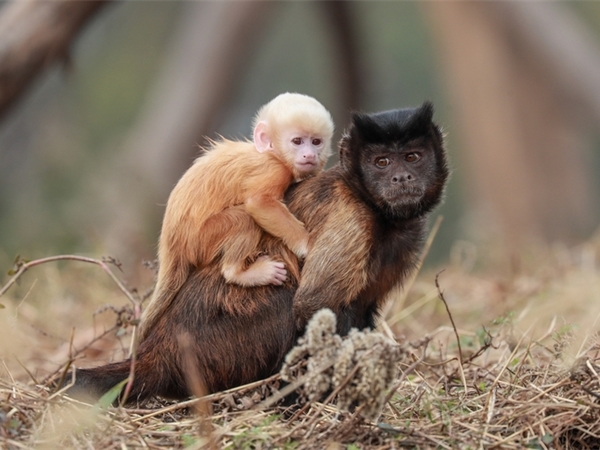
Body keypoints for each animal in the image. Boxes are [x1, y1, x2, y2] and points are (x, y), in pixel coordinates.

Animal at [141, 91, 336, 338]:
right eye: (297, 141)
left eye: (316, 142)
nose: (309, 154)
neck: (272, 153)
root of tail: (171, 243)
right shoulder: (273, 170)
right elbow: (259, 203)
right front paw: (307, 244)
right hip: (200, 240)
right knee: (244, 220)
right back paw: (239, 273)